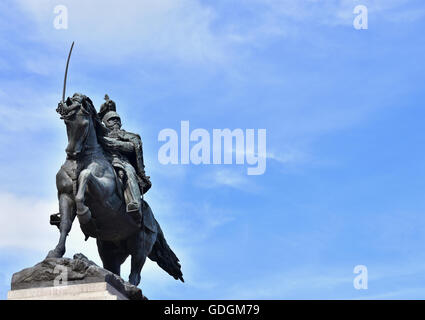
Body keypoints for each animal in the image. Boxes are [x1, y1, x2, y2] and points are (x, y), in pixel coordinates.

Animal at [47, 92, 183, 284]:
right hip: (110, 249)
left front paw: (84, 214)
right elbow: (65, 225)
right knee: (114, 269)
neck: (82, 160)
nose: (72, 153)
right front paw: (55, 252)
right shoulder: (64, 196)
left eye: (84, 123)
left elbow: (85, 176)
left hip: (140, 247)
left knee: (135, 276)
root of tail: (155, 224)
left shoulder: (105, 195)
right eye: (67, 122)